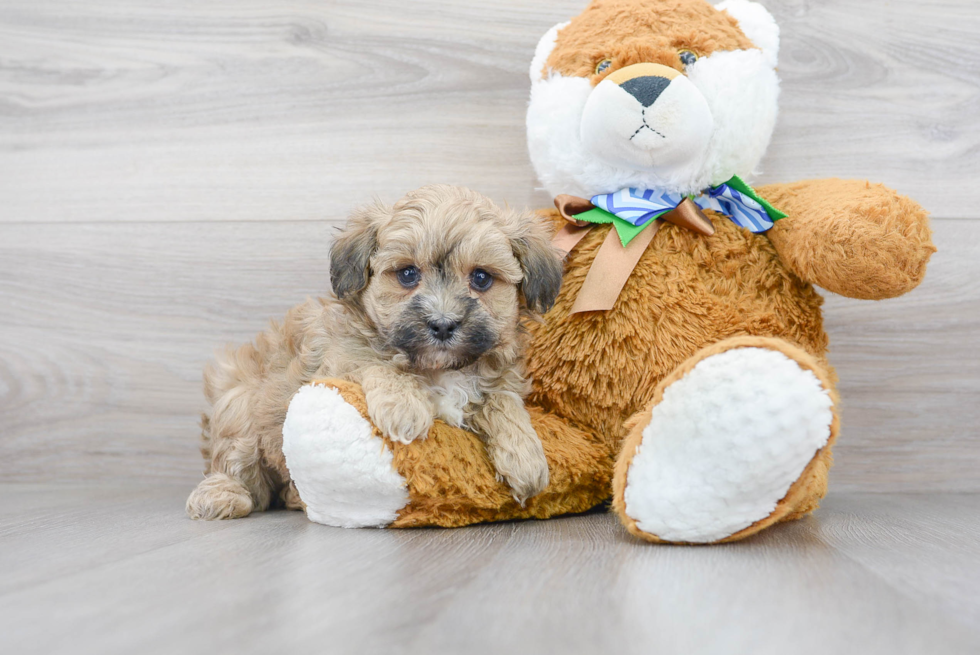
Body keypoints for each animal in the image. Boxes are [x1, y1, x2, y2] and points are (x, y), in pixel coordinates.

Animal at [187, 186, 564, 524]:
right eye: (408, 274)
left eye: (482, 278)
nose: (442, 325)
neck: (438, 369)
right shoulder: (336, 359)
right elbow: (374, 361)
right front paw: (405, 407)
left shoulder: (496, 380)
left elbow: (502, 401)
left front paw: (525, 456)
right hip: (239, 402)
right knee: (234, 461)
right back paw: (222, 494)